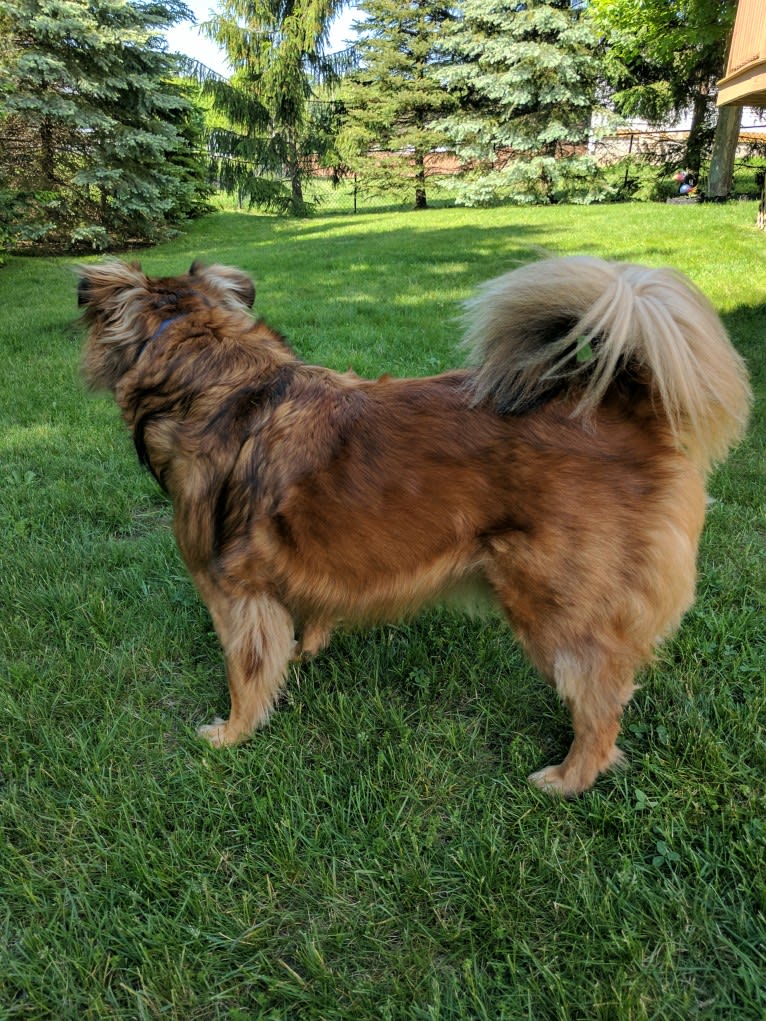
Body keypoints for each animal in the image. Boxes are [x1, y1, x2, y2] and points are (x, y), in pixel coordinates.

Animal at [78, 257, 751, 796]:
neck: (218, 374)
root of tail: (626, 399)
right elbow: (305, 619)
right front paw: (304, 651)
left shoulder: (232, 592)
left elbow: (246, 673)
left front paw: (233, 733)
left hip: (557, 607)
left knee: (600, 707)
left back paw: (568, 778)